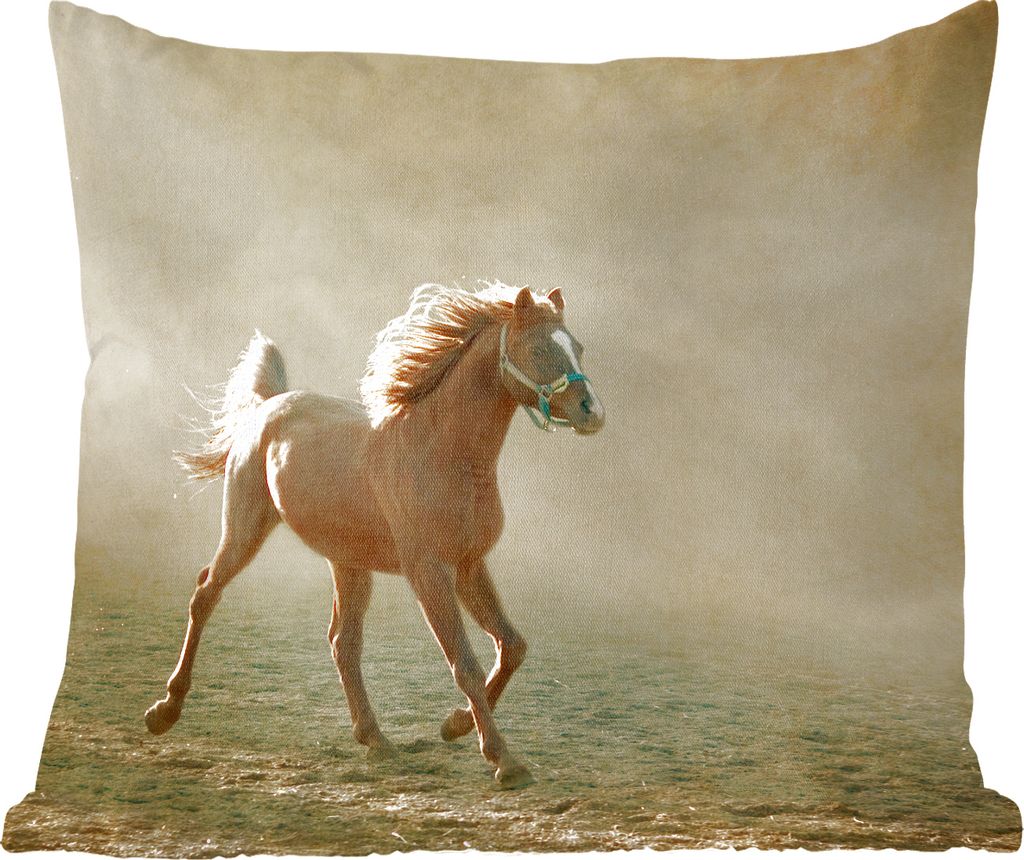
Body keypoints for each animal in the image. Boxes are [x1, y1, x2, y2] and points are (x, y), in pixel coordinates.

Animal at [143, 283, 605, 788]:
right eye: (539, 349)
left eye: (578, 347)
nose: (593, 413)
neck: (442, 453)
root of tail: (267, 406)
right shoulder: (429, 573)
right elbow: (465, 664)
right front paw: (504, 759)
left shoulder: (468, 565)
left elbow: (512, 646)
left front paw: (454, 725)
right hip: (245, 530)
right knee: (205, 594)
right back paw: (164, 710)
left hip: (347, 561)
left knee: (342, 642)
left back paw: (375, 738)